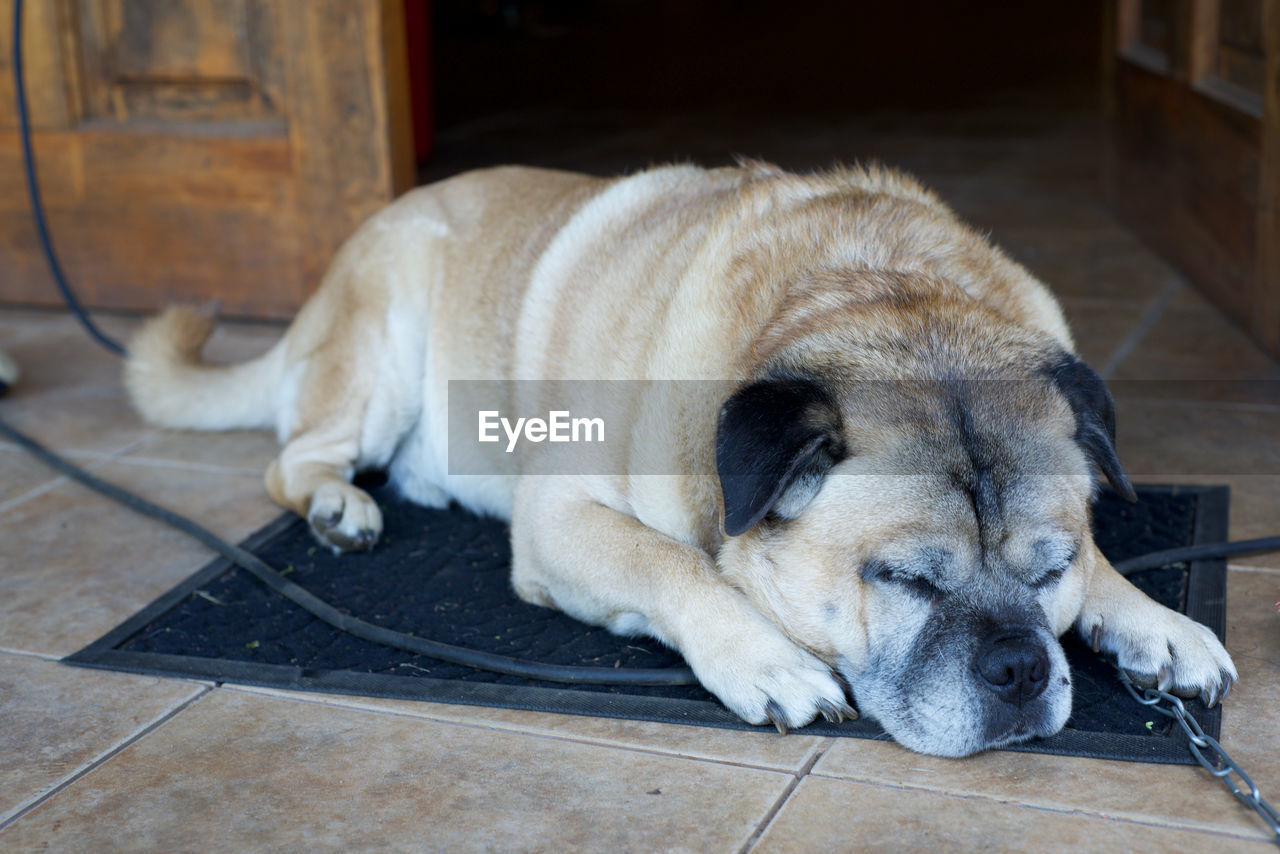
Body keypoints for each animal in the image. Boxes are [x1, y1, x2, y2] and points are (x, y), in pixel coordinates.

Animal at [124, 160, 1233, 752]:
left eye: (1050, 571)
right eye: (904, 580)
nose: (1019, 665)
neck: (878, 298)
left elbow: (1109, 571)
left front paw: (1152, 620)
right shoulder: (560, 522)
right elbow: (673, 566)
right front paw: (762, 653)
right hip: (380, 345)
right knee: (295, 457)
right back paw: (335, 505)